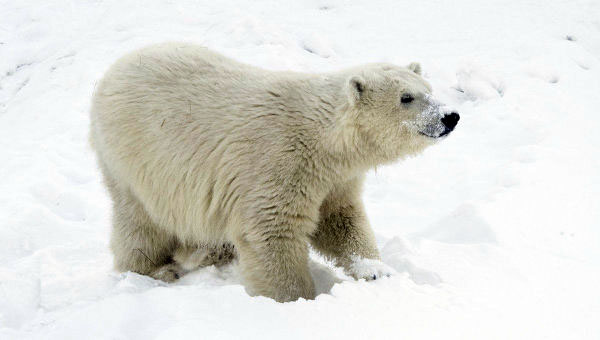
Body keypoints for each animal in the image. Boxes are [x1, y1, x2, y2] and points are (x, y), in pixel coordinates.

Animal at [89, 41, 460, 300]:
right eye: (406, 97)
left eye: (428, 89)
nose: (450, 116)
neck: (323, 138)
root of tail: (115, 68)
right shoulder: (278, 163)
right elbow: (272, 232)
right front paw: (296, 299)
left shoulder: (333, 178)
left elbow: (340, 219)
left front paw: (376, 271)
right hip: (134, 159)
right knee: (140, 222)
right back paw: (156, 269)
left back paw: (213, 251)